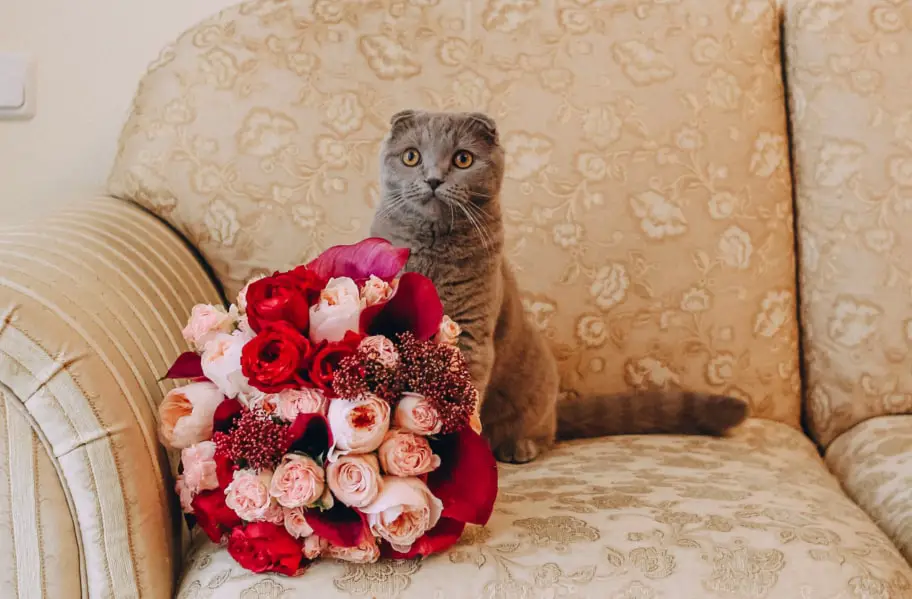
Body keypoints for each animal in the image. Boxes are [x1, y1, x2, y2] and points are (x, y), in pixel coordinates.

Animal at [370, 111, 748, 464]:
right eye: (411, 157)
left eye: (463, 159)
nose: (433, 179)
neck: (432, 253)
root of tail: (555, 410)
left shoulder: (471, 332)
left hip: (538, 390)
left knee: (544, 432)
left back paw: (517, 447)